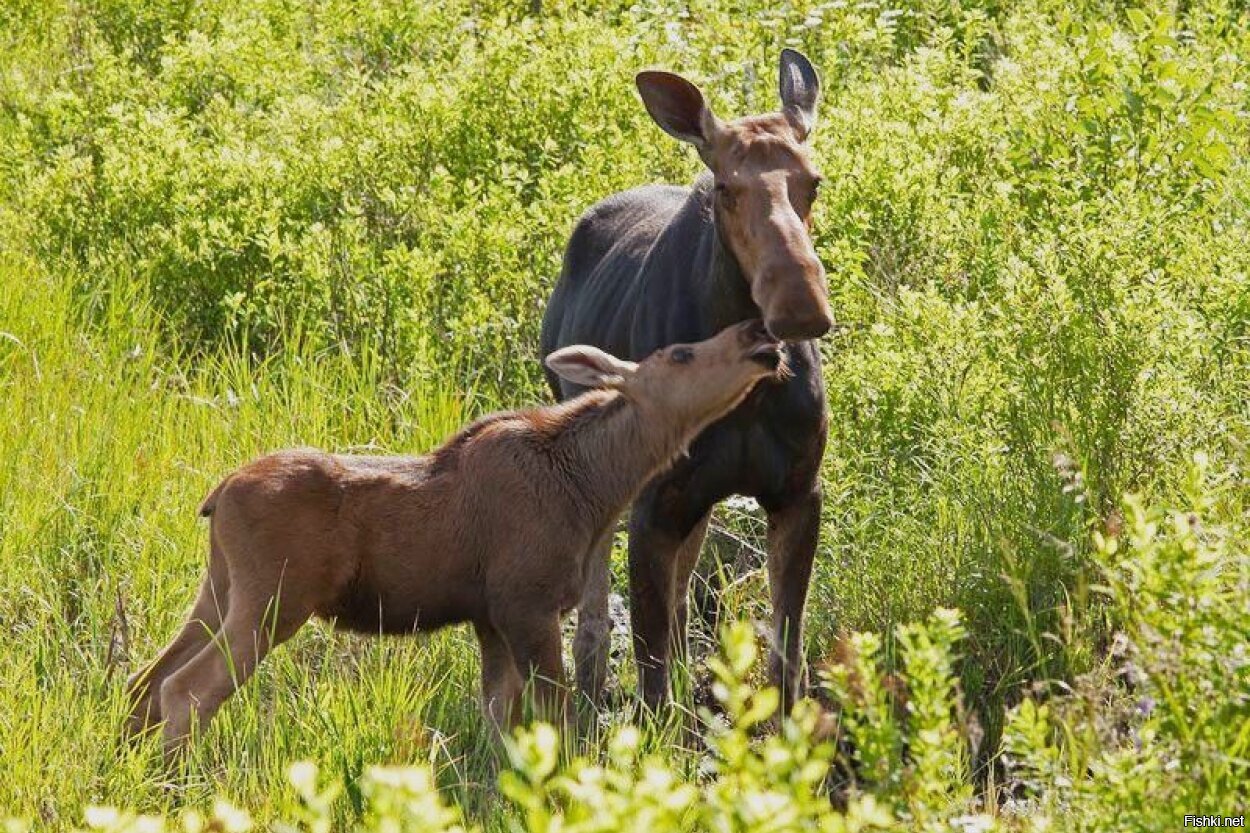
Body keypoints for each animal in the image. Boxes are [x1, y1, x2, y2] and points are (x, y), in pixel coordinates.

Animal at [124, 316, 780, 745]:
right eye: (681, 354)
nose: (759, 335)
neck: (596, 488)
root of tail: (216, 496)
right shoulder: (526, 604)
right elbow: (555, 719)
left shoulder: (490, 618)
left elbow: (499, 722)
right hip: (274, 600)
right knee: (186, 690)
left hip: (220, 589)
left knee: (143, 679)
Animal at [537, 48, 830, 705]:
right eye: (725, 187)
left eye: (814, 180)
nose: (800, 305)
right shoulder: (653, 508)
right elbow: (651, 677)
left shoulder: (797, 493)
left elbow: (786, 656)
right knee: (595, 612)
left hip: (697, 500)